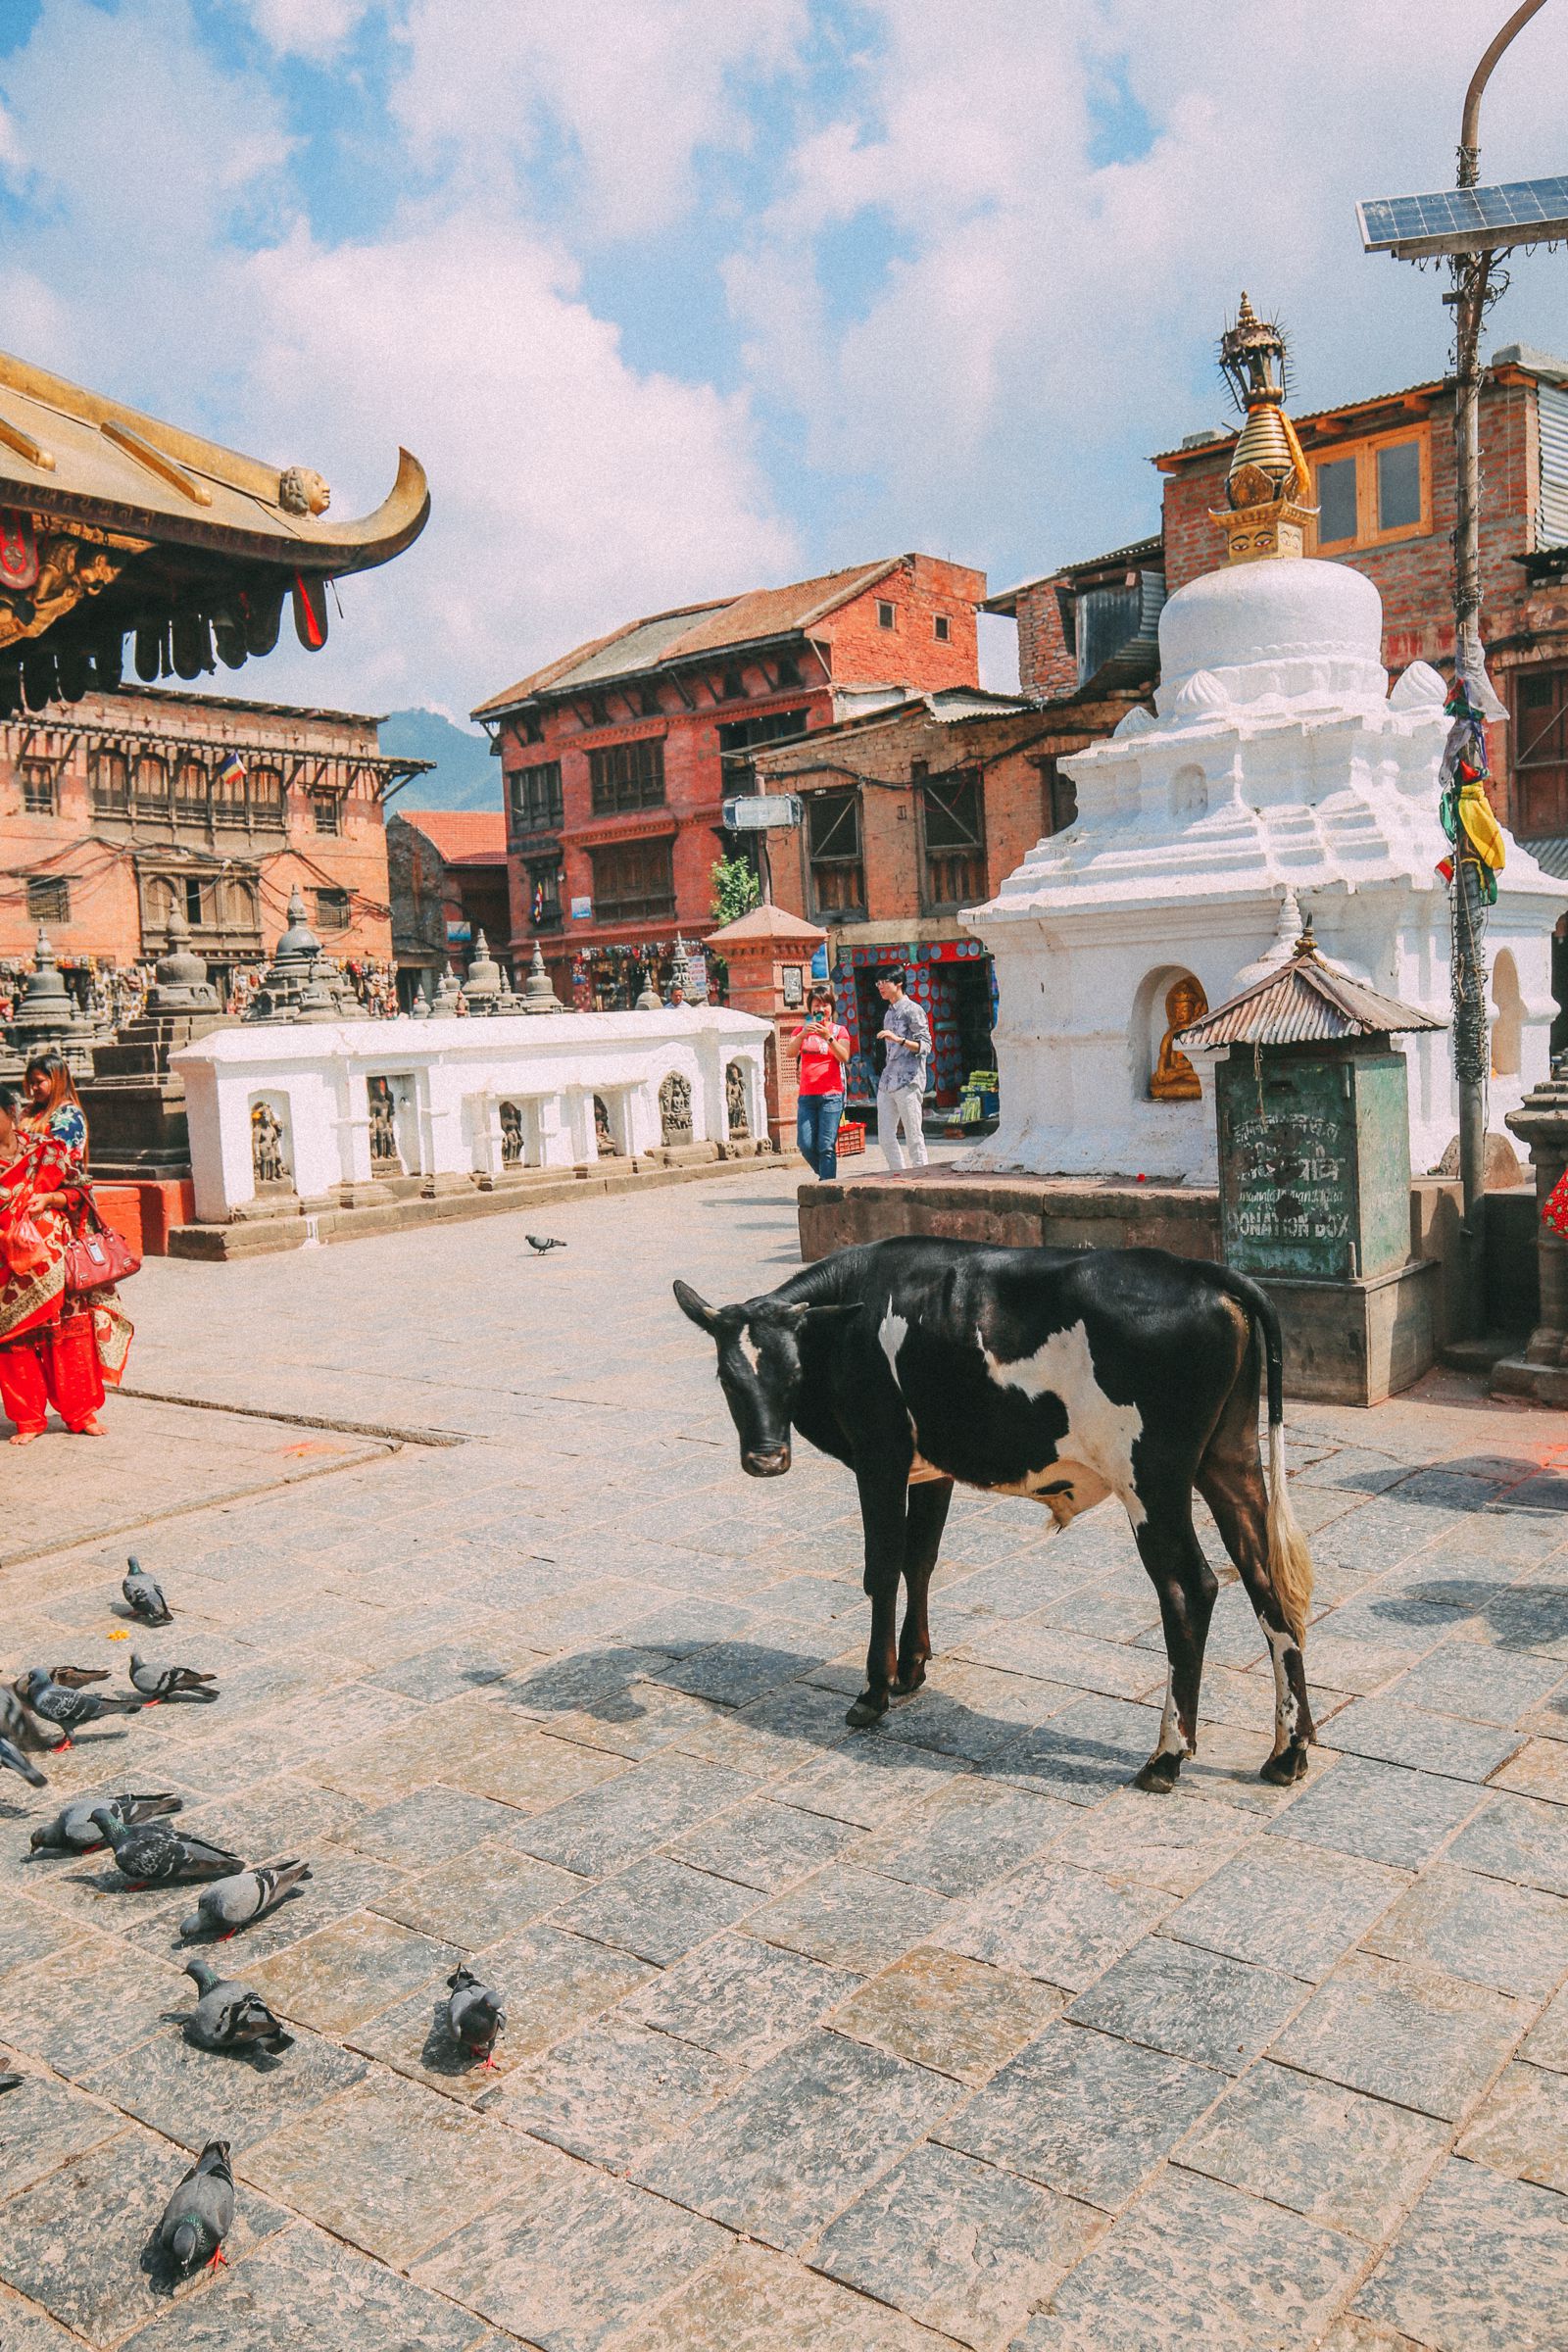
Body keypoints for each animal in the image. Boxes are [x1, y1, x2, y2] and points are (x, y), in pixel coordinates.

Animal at [676, 1232, 1316, 1778]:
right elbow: (919, 1560)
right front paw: (911, 1668)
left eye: (792, 1372)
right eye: (727, 1378)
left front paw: (873, 1692)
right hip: (1228, 1460)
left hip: (1150, 1481)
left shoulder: (880, 1456)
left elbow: (881, 1569)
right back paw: (1289, 1751)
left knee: (1191, 1590)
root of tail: (1204, 1272)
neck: (850, 1316)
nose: (765, 1460)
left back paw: (1166, 1757)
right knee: (1266, 1580)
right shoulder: (932, 1468)